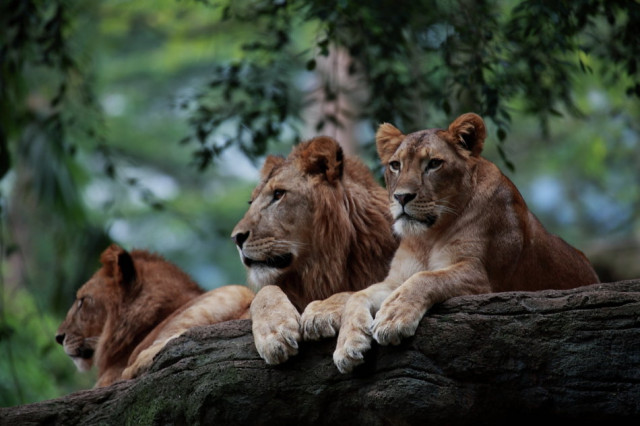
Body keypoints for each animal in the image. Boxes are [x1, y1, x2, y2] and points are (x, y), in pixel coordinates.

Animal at [231, 136, 399, 365]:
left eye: (278, 194)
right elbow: (263, 294)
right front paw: (275, 334)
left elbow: (358, 291)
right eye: (251, 201)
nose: (236, 238)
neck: (321, 268)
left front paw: (321, 311)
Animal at [321, 112, 601, 373]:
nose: (401, 197)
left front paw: (393, 317)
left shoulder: (483, 278)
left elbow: (427, 278)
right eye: (395, 165)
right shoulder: (396, 280)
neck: (428, 236)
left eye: (434, 164)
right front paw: (347, 345)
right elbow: (358, 295)